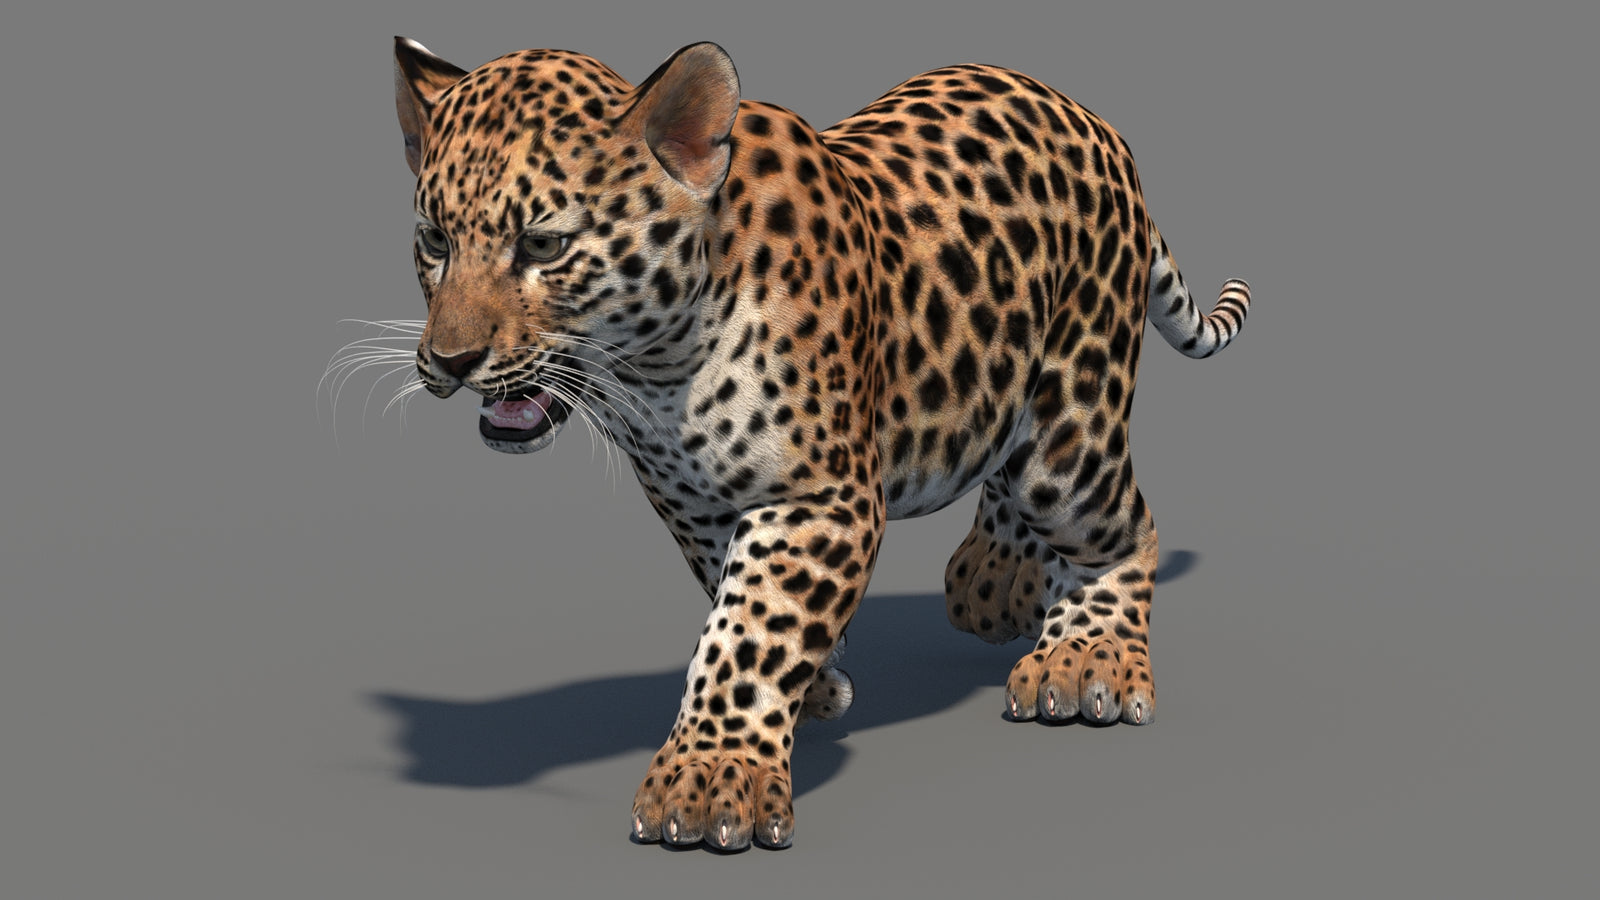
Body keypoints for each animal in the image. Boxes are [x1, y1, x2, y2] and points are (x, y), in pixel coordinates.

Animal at [389, 36, 1252, 851]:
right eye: (433, 239)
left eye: (543, 246)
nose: (451, 361)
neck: (656, 373)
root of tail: (1093, 121)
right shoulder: (692, 501)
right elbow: (734, 596)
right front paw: (809, 690)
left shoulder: (822, 495)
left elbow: (751, 627)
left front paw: (711, 777)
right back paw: (998, 579)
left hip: (1073, 422)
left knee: (1121, 524)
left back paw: (1087, 657)